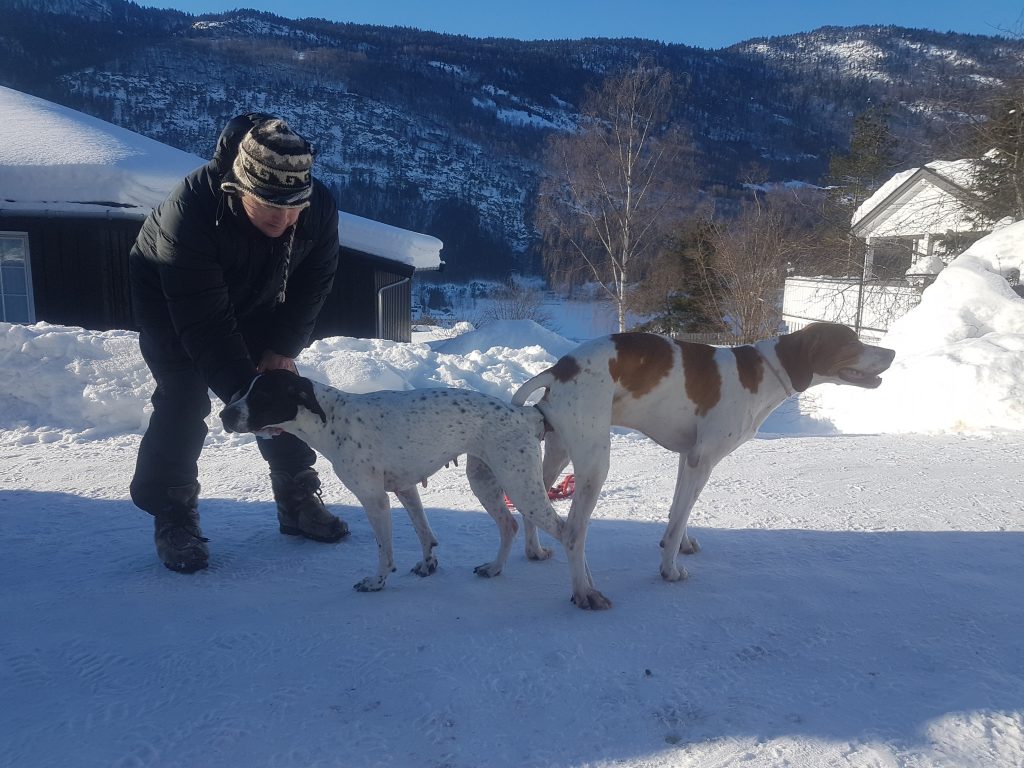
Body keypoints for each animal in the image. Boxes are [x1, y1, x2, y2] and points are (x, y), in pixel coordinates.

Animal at [512, 325, 897, 614]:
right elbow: (681, 515)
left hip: (558, 454)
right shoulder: (704, 460)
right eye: (850, 341)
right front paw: (669, 570)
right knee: (573, 532)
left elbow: (677, 512)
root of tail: (559, 369)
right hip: (594, 464)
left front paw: (679, 544)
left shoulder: (688, 456)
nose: (892, 353)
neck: (764, 373)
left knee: (531, 506)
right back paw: (584, 592)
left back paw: (534, 551)